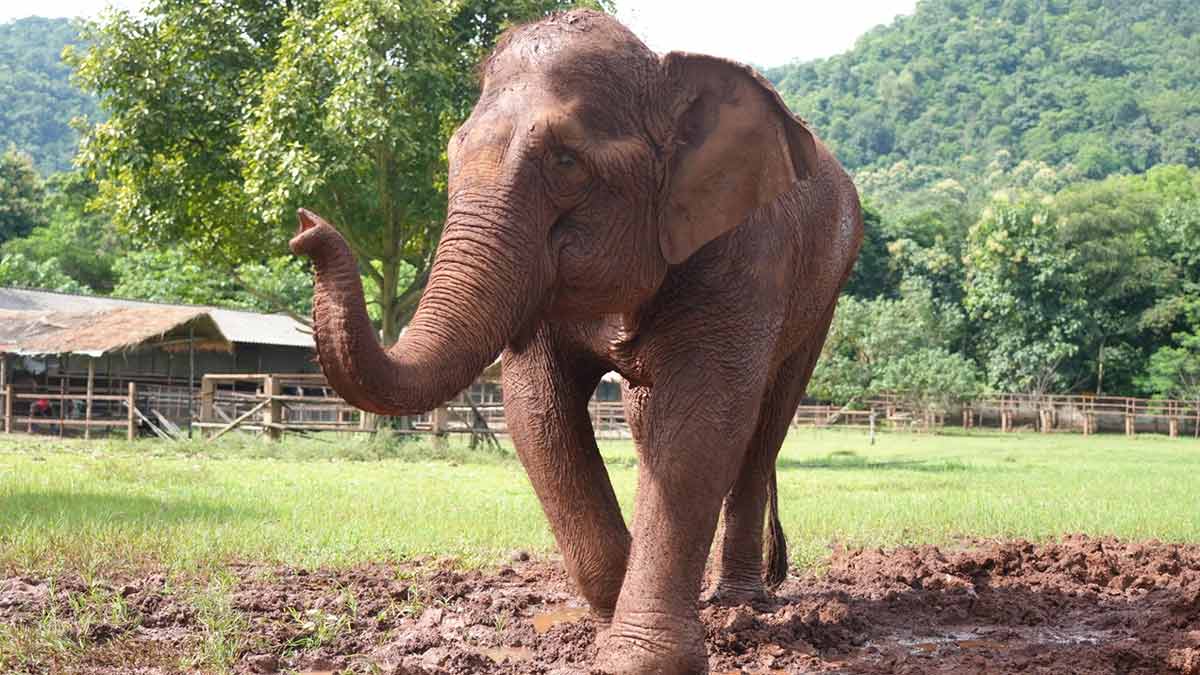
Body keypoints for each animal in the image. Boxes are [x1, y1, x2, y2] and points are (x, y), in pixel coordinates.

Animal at [290, 7, 864, 667]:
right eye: (452, 150)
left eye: (565, 161)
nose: (306, 226)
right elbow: (538, 409)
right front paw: (608, 612)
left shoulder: (743, 255)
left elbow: (700, 420)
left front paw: (638, 659)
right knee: (647, 417)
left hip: (824, 290)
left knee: (765, 425)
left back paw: (740, 603)